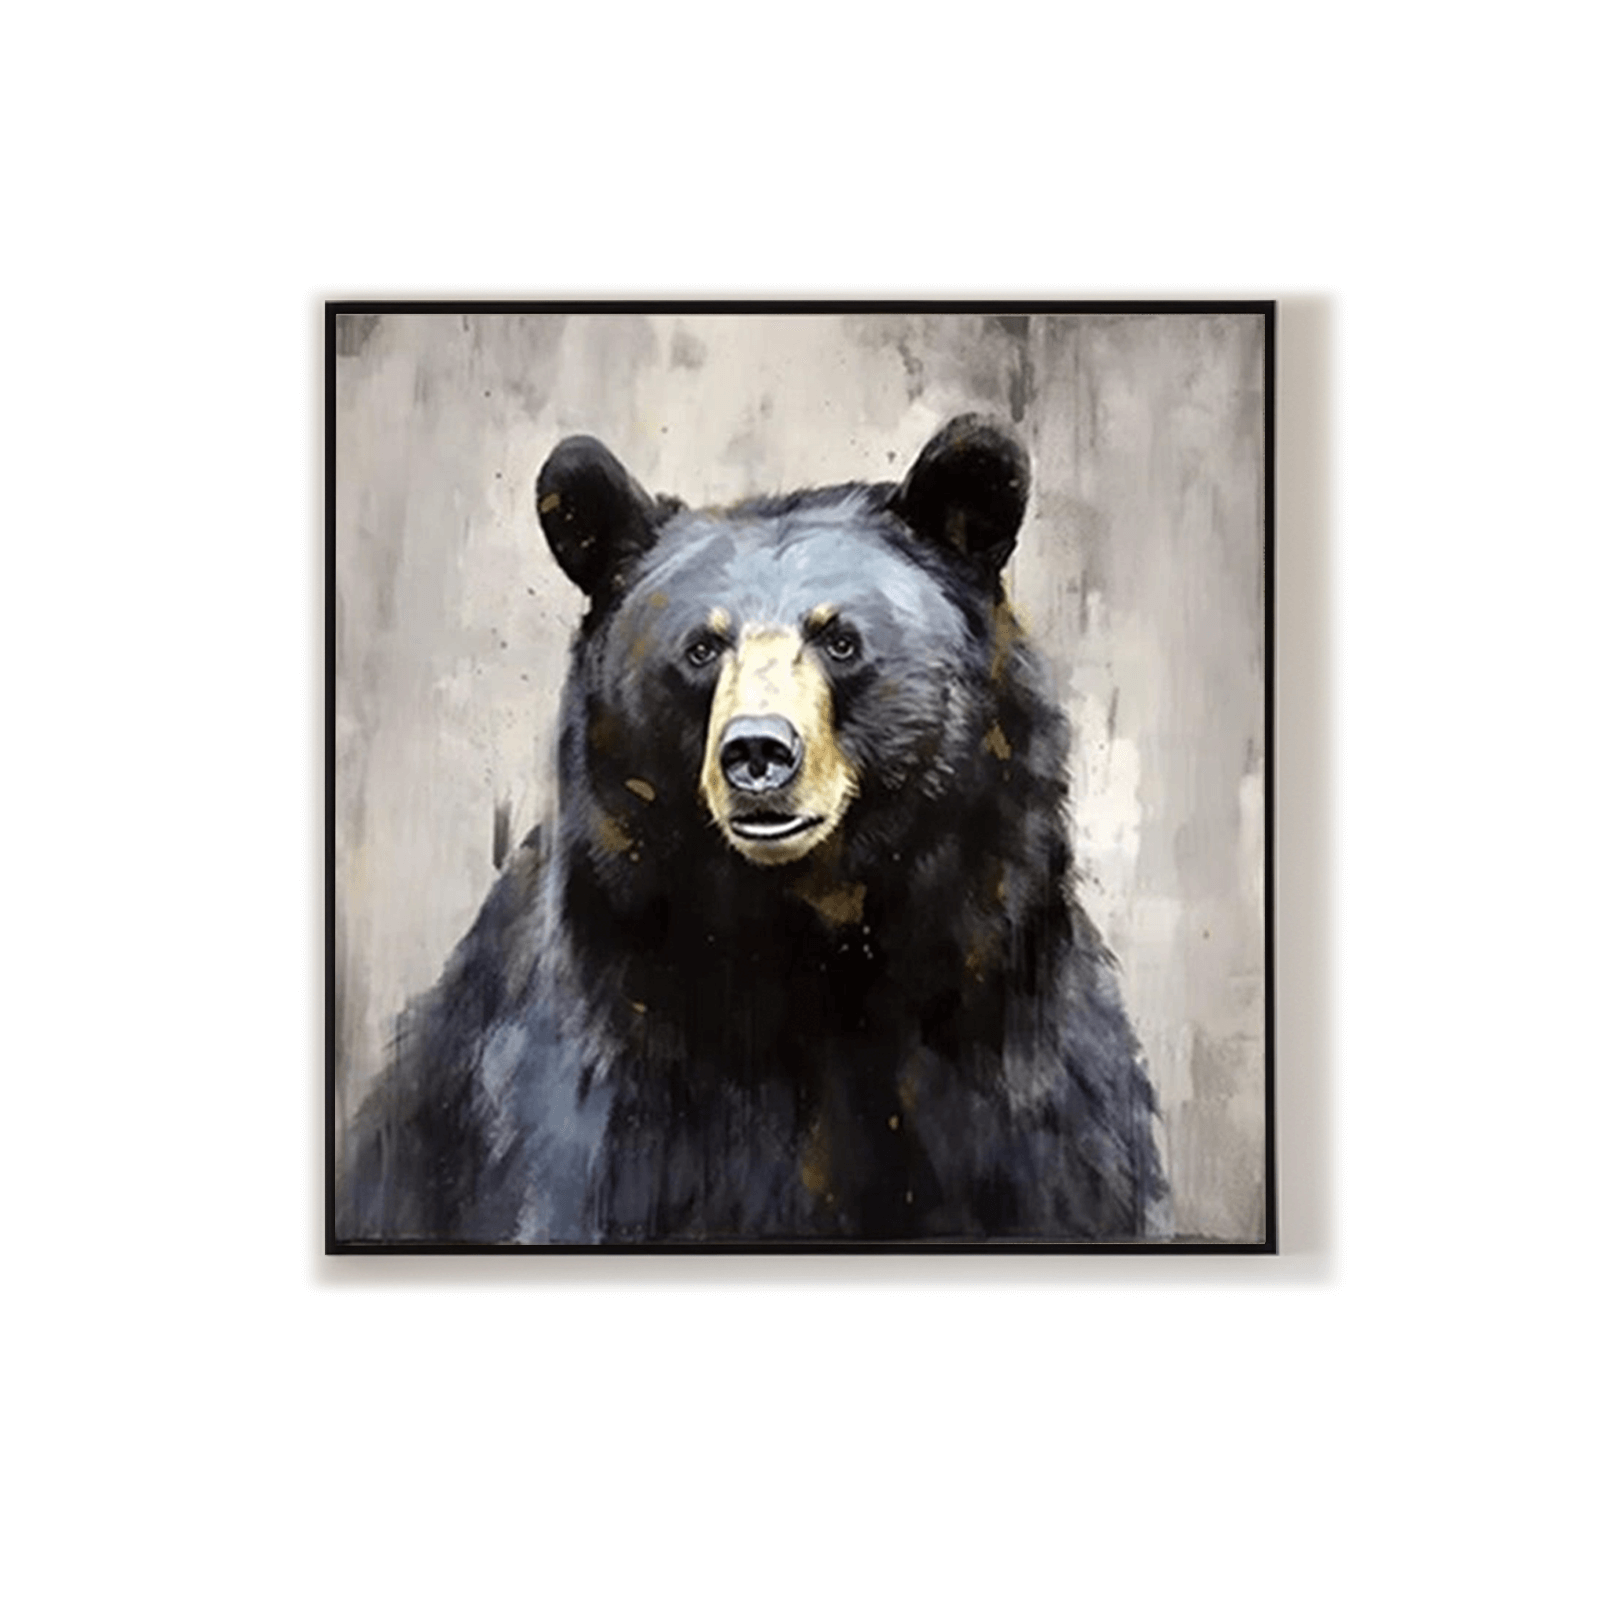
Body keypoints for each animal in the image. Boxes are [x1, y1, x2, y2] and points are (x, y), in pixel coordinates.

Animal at [336, 416, 1166, 1244]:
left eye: (840, 640)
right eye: (703, 648)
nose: (757, 752)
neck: (811, 940)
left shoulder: (1018, 1080)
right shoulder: (612, 1090)